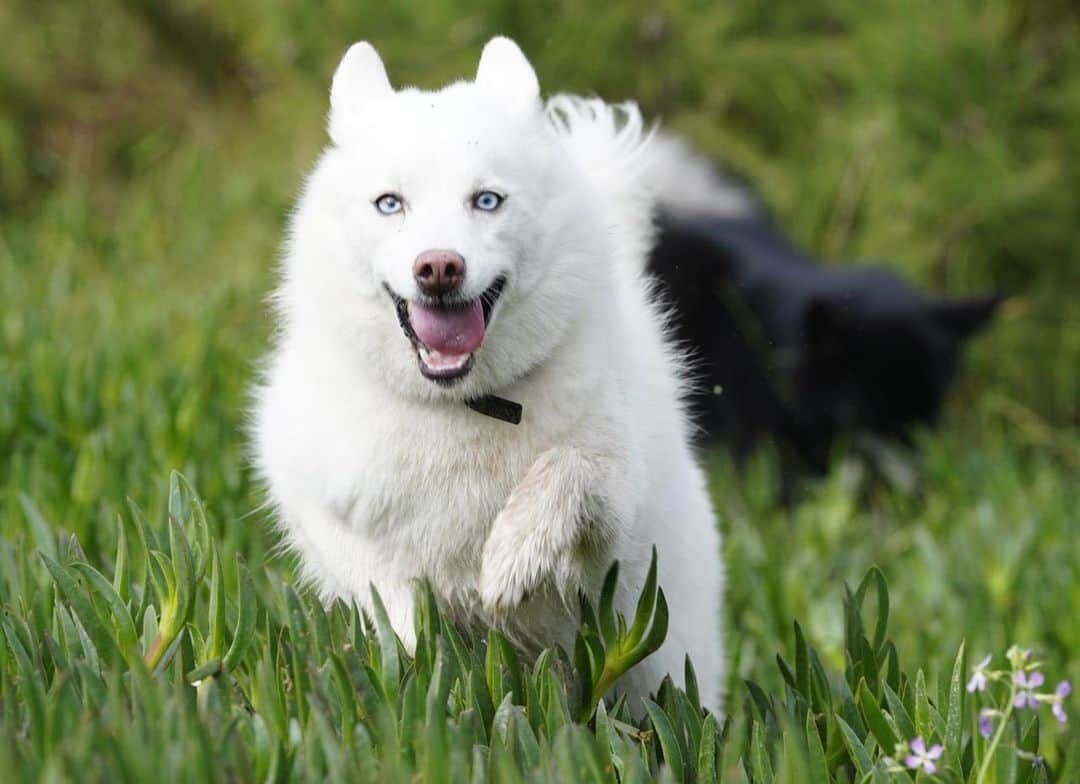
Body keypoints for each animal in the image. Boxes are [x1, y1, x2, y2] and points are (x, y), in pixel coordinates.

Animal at [252, 35, 725, 712]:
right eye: (390, 204)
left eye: (486, 200)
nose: (438, 267)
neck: (462, 404)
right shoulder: (311, 498)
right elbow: (387, 589)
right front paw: (420, 649)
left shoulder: (616, 511)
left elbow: (567, 469)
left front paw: (512, 557)